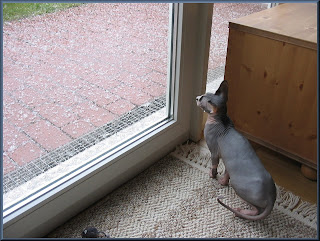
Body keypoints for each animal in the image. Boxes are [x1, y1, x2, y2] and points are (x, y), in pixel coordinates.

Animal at [196, 80, 276, 220]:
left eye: (201, 99)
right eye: (202, 95)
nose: (196, 97)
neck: (222, 120)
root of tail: (271, 197)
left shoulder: (214, 152)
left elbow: (214, 165)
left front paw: (212, 175)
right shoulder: (228, 161)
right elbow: (226, 172)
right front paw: (222, 181)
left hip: (238, 186)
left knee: (257, 210)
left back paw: (240, 212)